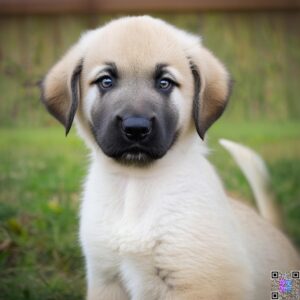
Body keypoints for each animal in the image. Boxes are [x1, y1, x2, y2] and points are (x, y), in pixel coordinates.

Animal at [41, 16, 298, 300]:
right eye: (105, 81)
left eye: (164, 83)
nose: (136, 128)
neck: (136, 184)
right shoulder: (106, 279)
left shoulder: (193, 283)